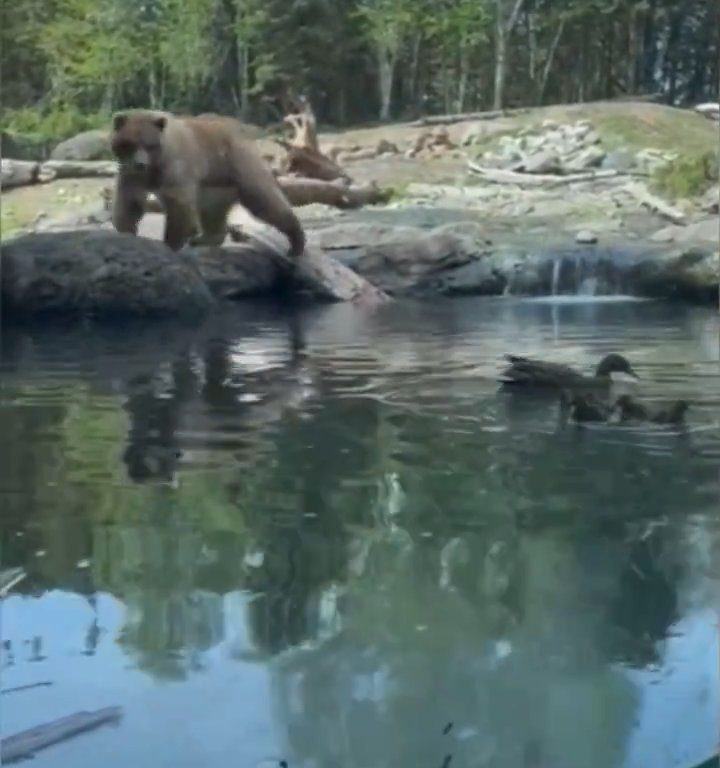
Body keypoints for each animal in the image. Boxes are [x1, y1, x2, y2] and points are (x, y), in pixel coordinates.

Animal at [108, 109, 306, 258]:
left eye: (149, 145)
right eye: (130, 143)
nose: (140, 164)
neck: (154, 168)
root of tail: (243, 131)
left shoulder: (174, 167)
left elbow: (178, 205)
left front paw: (170, 244)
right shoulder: (131, 174)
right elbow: (129, 202)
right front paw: (126, 233)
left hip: (239, 163)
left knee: (264, 197)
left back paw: (296, 241)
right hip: (215, 184)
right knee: (212, 210)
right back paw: (205, 238)